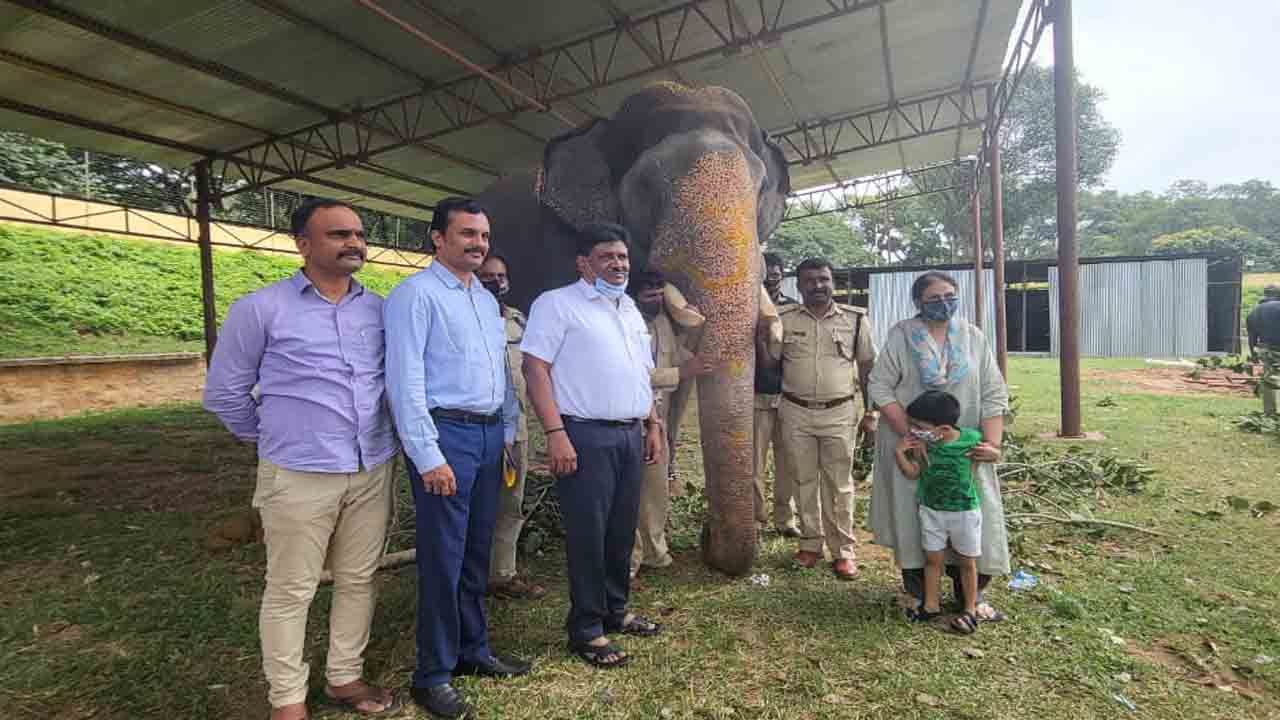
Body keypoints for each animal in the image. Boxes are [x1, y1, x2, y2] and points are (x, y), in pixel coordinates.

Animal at [476, 81, 783, 573]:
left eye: (759, 191)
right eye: (646, 188)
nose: (706, 537)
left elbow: (675, 378)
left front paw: (669, 484)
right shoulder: (562, 247)